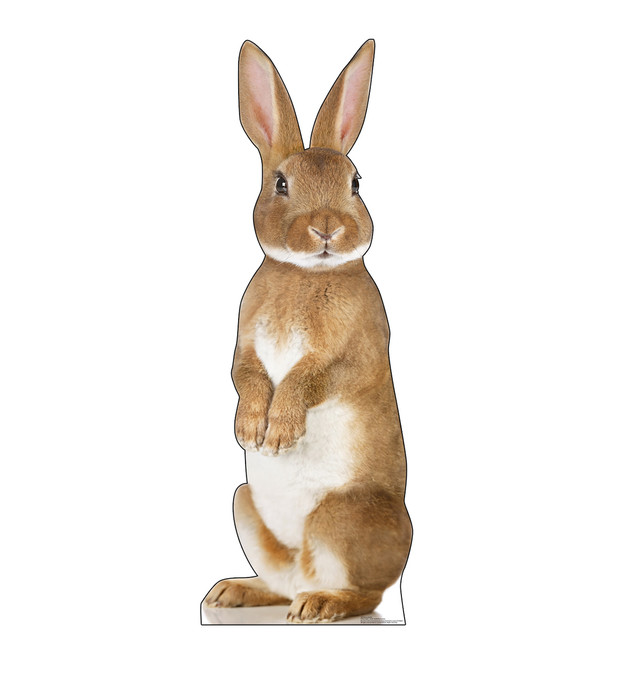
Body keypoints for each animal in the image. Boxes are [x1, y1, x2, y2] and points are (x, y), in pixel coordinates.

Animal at [203, 39, 412, 623]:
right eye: (281, 184)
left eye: (356, 183)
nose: (326, 228)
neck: (305, 273)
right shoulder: (244, 344)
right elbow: (246, 375)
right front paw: (251, 429)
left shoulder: (354, 351)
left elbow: (311, 378)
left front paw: (279, 434)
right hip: (243, 505)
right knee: (281, 581)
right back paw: (233, 592)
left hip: (339, 517)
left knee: (364, 593)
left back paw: (320, 604)